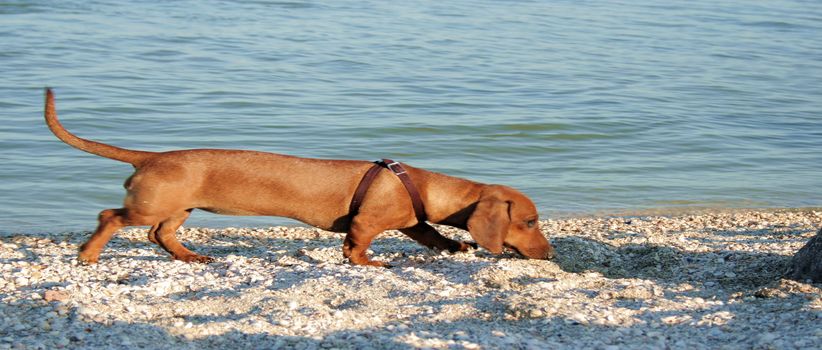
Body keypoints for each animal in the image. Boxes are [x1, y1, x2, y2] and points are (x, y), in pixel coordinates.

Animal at [46, 89, 560, 266]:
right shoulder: (368, 223)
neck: (423, 183)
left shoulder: (412, 222)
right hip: (149, 205)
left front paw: (455, 247)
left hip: (176, 209)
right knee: (110, 217)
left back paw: (191, 256)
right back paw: (88, 254)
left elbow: (432, 235)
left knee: (160, 234)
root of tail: (150, 157)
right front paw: (368, 264)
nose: (551, 254)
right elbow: (357, 246)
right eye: (530, 222)